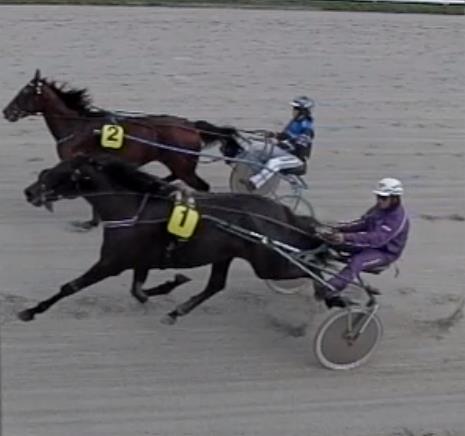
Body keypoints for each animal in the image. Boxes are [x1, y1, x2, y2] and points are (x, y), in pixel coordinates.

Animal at [1, 68, 237, 228]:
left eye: (24, 93)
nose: (6, 112)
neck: (76, 126)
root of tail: (191, 126)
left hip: (183, 167)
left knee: (203, 187)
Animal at [21, 155, 326, 322]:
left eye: (60, 173)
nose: (29, 192)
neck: (132, 208)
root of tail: (282, 212)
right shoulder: (140, 260)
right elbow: (139, 291)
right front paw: (172, 284)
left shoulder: (112, 262)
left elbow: (71, 286)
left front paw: (31, 311)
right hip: (227, 255)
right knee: (215, 285)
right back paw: (175, 313)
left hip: (270, 265)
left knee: (310, 269)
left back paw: (326, 294)